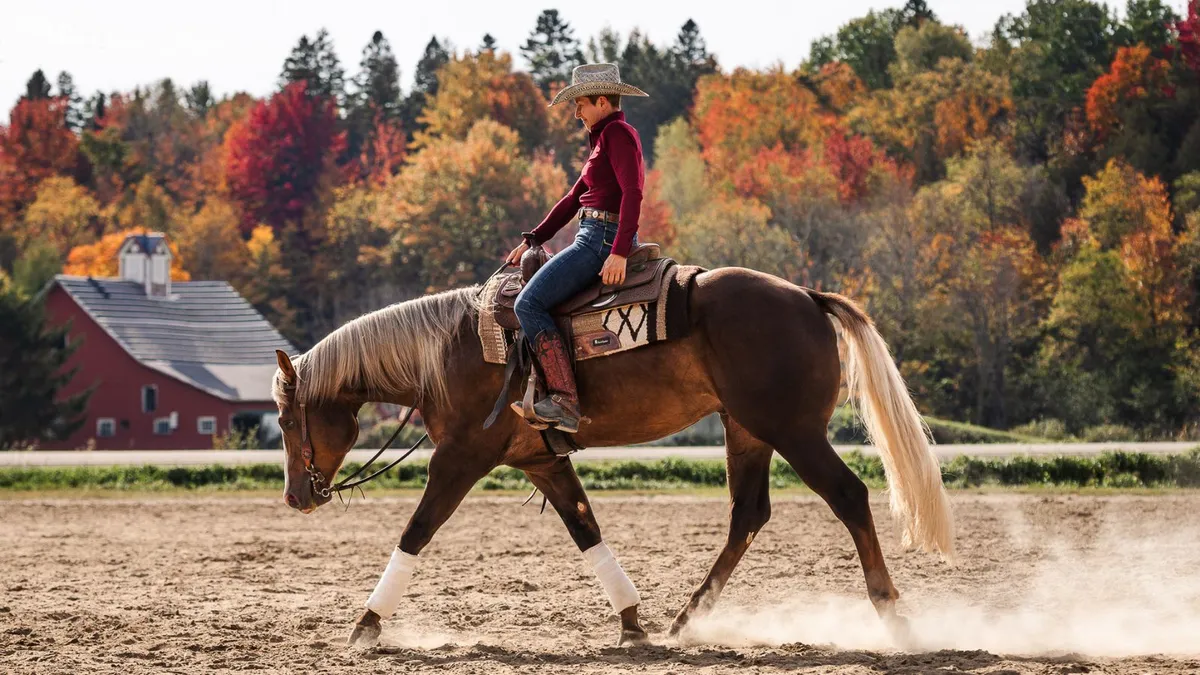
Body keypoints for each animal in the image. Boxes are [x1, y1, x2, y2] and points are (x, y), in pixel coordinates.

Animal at [269, 265, 954, 647]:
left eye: (286, 418)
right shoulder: (542, 462)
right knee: (748, 515)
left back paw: (892, 616)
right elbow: (586, 529)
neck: (448, 353)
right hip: (748, 432)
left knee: (848, 497)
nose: (295, 497)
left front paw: (365, 625)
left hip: (793, 432)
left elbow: (416, 531)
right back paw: (685, 620)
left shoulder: (460, 457)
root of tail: (807, 296)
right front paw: (632, 623)